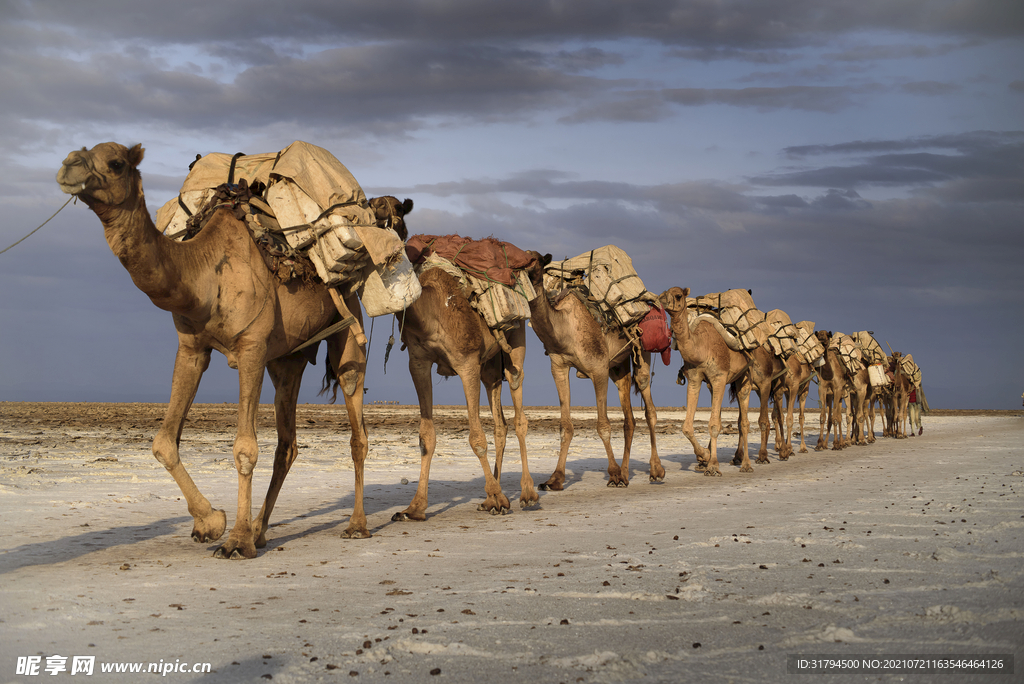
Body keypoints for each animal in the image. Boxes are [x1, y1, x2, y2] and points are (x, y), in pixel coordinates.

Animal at [57, 141, 376, 557]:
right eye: (79, 151)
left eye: (115, 163)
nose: (68, 166)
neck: (204, 274)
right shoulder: (192, 349)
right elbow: (164, 442)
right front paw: (211, 523)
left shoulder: (252, 347)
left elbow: (244, 448)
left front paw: (235, 541)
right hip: (286, 359)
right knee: (287, 444)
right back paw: (260, 529)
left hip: (347, 323)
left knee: (356, 424)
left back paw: (355, 525)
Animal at [389, 259, 544, 520]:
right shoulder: (418, 362)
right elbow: (426, 437)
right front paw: (414, 508)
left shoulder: (467, 363)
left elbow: (476, 438)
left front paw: (500, 498)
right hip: (489, 367)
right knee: (500, 423)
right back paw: (490, 499)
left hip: (516, 339)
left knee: (518, 408)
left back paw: (527, 494)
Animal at [524, 259, 667, 489]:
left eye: (535, 263)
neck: (565, 328)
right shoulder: (559, 368)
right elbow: (565, 426)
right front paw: (555, 479)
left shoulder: (598, 369)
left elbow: (603, 425)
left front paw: (614, 474)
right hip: (618, 366)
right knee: (629, 418)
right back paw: (626, 475)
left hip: (641, 349)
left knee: (649, 406)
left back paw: (655, 470)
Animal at [655, 286, 774, 475]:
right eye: (663, 292)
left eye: (678, 295)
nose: (661, 300)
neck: (701, 347)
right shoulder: (695, 379)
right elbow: (688, 426)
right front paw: (704, 456)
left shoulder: (719, 377)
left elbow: (714, 425)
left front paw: (712, 466)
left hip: (748, 377)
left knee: (745, 422)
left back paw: (747, 464)